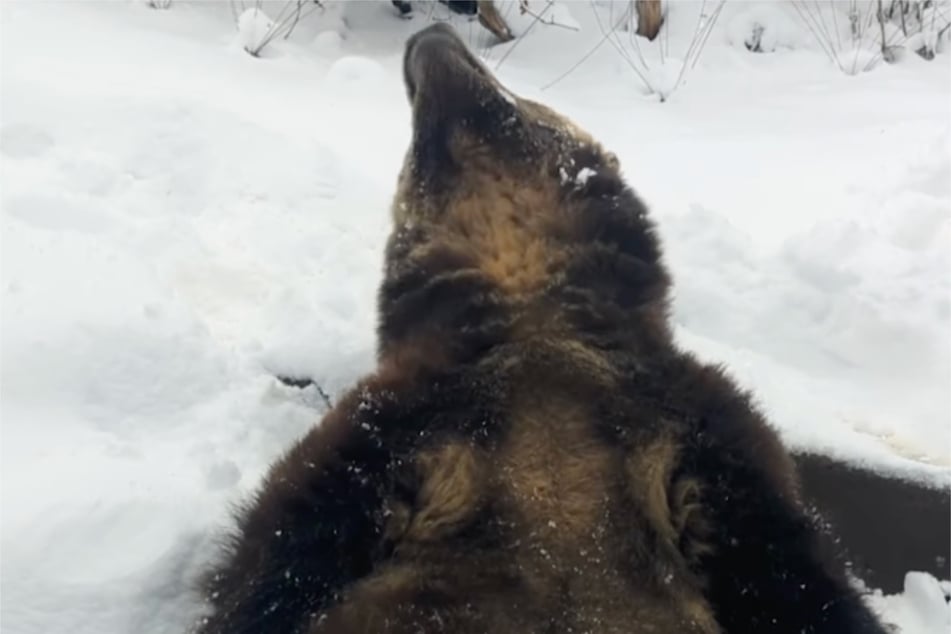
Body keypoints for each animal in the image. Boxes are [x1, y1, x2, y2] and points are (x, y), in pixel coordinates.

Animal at [195, 23, 892, 632]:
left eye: (527, 101)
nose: (432, 38)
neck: (534, 317)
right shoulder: (399, 421)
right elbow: (280, 557)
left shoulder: (697, 426)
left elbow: (791, 572)